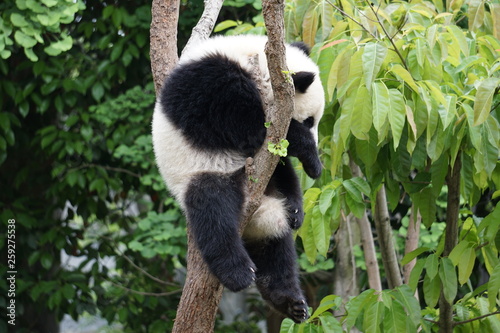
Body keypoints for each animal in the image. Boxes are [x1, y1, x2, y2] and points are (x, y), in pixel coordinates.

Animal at [151, 34, 324, 322]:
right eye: (310, 120)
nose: (316, 140)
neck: (253, 61)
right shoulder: (208, 83)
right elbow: (252, 127)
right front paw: (312, 158)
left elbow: (281, 160)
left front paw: (299, 208)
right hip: (203, 174)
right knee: (214, 213)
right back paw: (239, 273)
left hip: (267, 196)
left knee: (276, 244)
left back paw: (289, 300)